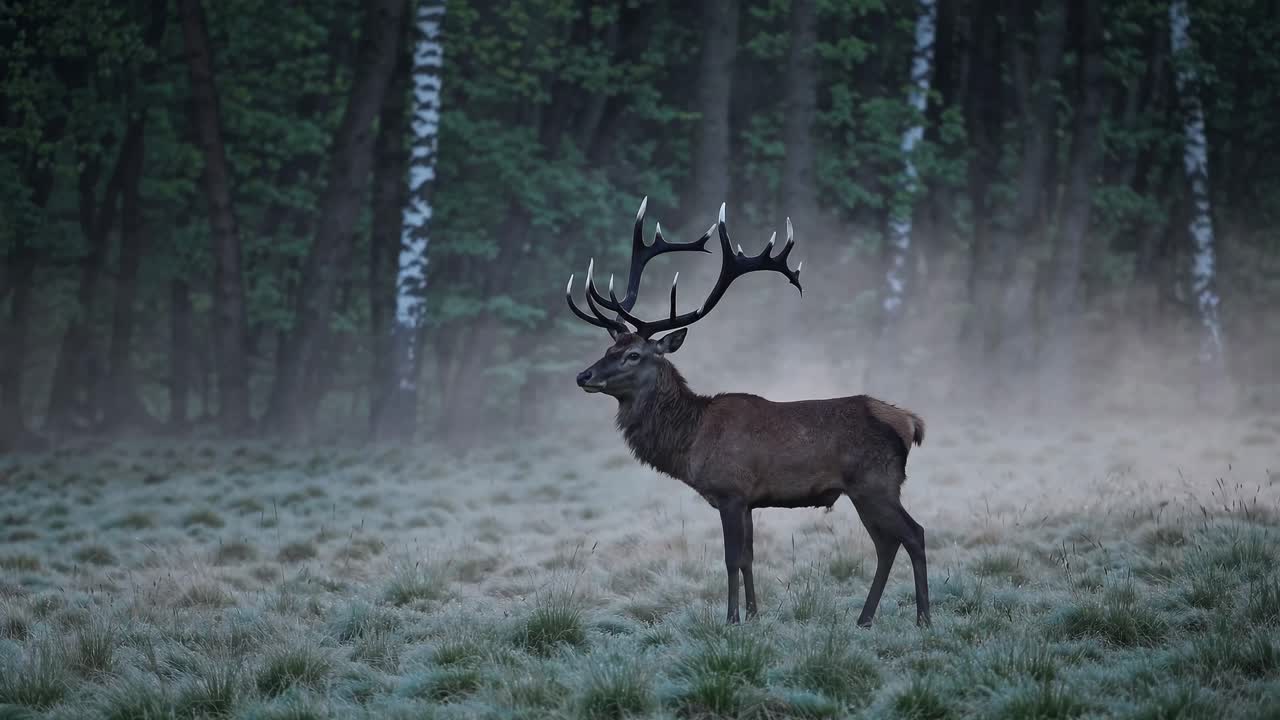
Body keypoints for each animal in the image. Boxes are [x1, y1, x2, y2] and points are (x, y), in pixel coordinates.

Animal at [565, 199, 930, 627]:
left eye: (633, 355)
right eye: (609, 349)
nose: (583, 376)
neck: (691, 440)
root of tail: (909, 422)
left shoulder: (730, 491)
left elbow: (731, 559)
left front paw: (731, 620)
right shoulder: (751, 500)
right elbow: (750, 558)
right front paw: (754, 616)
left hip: (876, 482)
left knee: (914, 534)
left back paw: (923, 619)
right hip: (866, 489)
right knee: (887, 544)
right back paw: (864, 619)